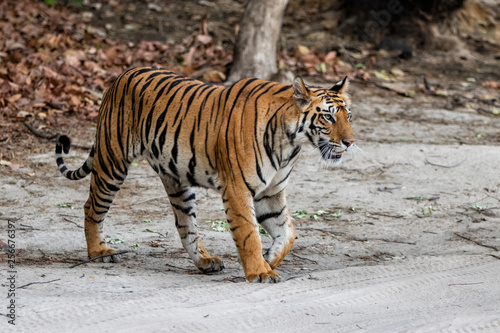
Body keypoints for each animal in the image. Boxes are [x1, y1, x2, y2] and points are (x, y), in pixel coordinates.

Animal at [55, 67, 356, 282]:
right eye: (328, 117)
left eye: (348, 116)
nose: (351, 142)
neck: (290, 142)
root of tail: (119, 77)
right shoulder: (238, 189)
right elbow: (249, 233)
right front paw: (259, 271)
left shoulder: (270, 192)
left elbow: (288, 233)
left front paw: (269, 258)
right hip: (112, 163)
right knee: (91, 207)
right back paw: (99, 252)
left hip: (176, 178)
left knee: (184, 224)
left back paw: (205, 261)